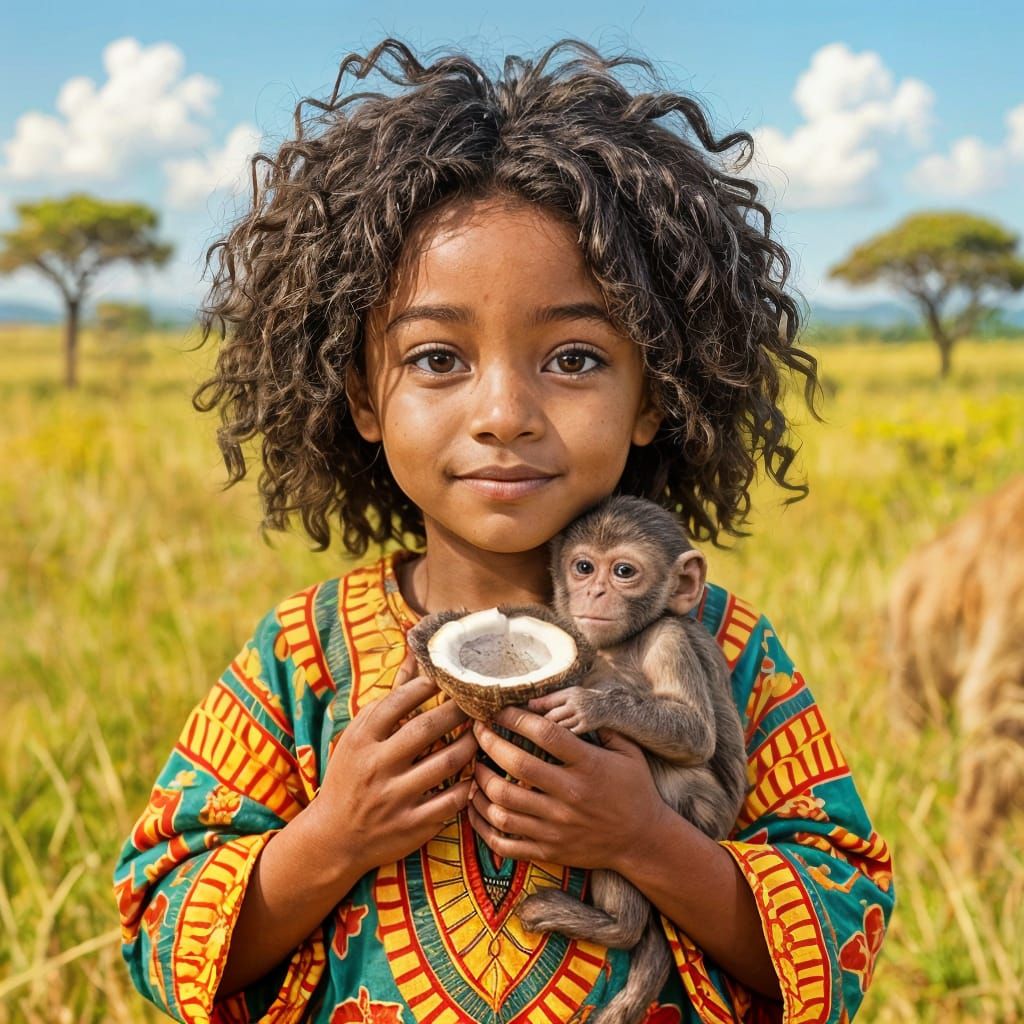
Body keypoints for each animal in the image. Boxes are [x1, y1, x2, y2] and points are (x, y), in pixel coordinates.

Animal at [513, 495, 749, 1024]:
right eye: (583, 567)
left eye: (623, 571)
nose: (595, 591)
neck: (619, 646)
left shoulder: (669, 640)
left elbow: (696, 734)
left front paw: (591, 705)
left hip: (700, 818)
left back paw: (617, 925)